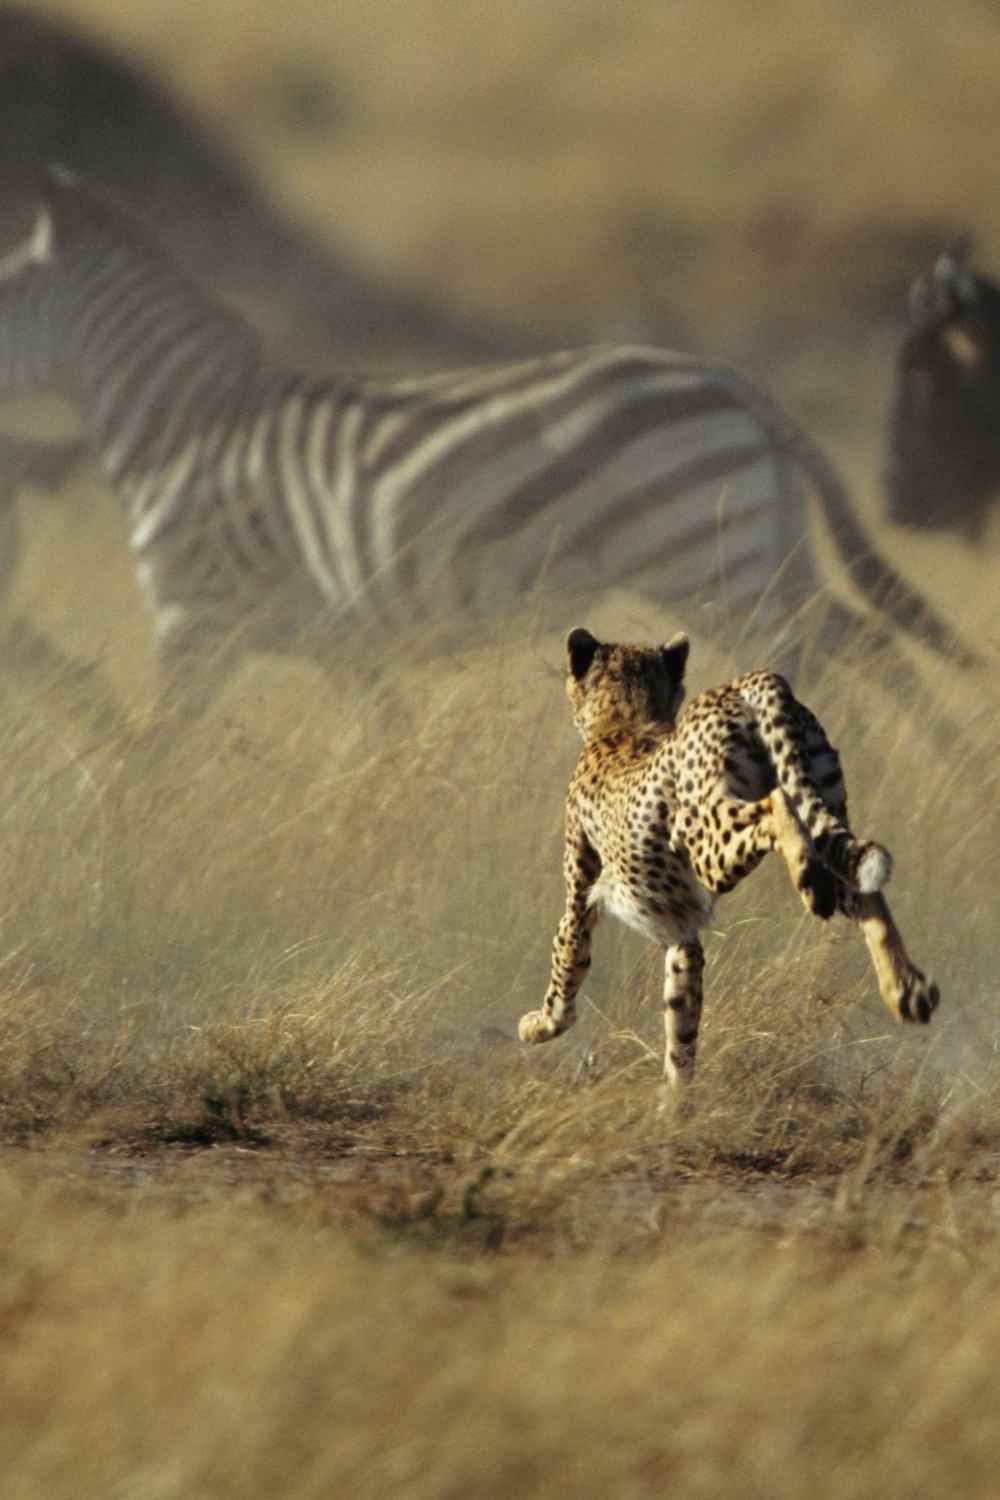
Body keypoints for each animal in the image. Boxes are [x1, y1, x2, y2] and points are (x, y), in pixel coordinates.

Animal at [0, 170, 971, 720]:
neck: (178, 425)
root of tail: (737, 383)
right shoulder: (337, 649)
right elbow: (386, 747)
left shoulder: (191, 626)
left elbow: (155, 754)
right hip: (760, 550)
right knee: (861, 647)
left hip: (708, 560)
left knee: (834, 654)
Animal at [521, 627, 941, 1086]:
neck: (627, 718)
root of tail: (747, 680)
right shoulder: (681, 933)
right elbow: (681, 1022)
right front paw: (675, 1098)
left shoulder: (580, 896)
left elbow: (565, 966)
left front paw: (537, 1025)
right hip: (826, 810)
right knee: (861, 883)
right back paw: (905, 990)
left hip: (705, 836)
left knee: (776, 806)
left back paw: (810, 886)